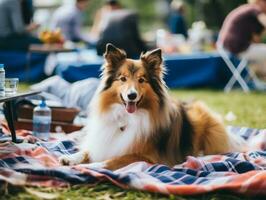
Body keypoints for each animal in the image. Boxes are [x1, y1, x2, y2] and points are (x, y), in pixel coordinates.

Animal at [59, 43, 245, 170]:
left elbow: (112, 160)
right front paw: (70, 158)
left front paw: (90, 166)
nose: (132, 96)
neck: (126, 119)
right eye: (123, 78)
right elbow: (87, 151)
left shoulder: (147, 157)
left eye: (142, 80)